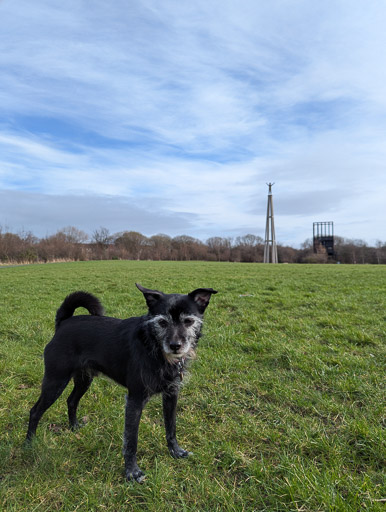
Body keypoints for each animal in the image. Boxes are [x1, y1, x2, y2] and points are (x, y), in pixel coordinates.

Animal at [25, 284, 217, 480]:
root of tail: (63, 323)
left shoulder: (171, 395)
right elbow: (131, 441)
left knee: (71, 401)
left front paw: (176, 452)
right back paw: (29, 443)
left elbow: (171, 428)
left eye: (189, 321)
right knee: (35, 411)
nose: (175, 345)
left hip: (84, 379)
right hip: (55, 381)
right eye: (162, 322)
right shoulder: (134, 401)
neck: (154, 348)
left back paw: (74, 427)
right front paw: (132, 472)